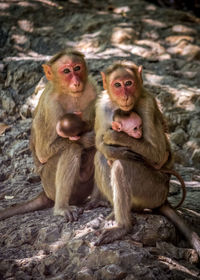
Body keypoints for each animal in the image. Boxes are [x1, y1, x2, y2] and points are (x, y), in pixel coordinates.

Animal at [0, 49, 98, 222]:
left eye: (77, 68)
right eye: (66, 71)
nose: (76, 81)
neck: (71, 93)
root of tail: (45, 193)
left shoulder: (92, 86)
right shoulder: (51, 105)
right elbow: (43, 152)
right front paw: (88, 137)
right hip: (50, 183)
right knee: (71, 149)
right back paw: (61, 207)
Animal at [92, 60, 200, 256]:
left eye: (129, 83)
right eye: (117, 85)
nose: (125, 95)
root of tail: (163, 199)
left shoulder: (147, 104)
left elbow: (158, 154)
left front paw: (115, 137)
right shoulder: (102, 105)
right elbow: (99, 142)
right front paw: (112, 146)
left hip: (153, 191)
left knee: (121, 166)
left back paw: (123, 226)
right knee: (102, 158)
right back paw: (118, 215)